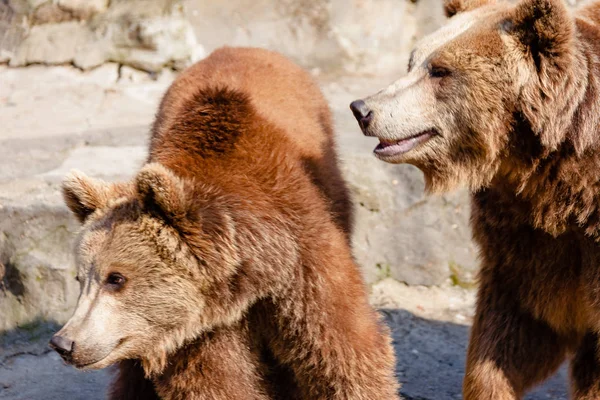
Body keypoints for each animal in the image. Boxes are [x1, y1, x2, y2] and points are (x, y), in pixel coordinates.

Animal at [49, 47, 400, 400]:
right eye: (81, 278)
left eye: (116, 278)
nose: (64, 343)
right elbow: (217, 381)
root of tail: (240, 48)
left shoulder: (301, 258)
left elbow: (341, 350)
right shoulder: (202, 324)